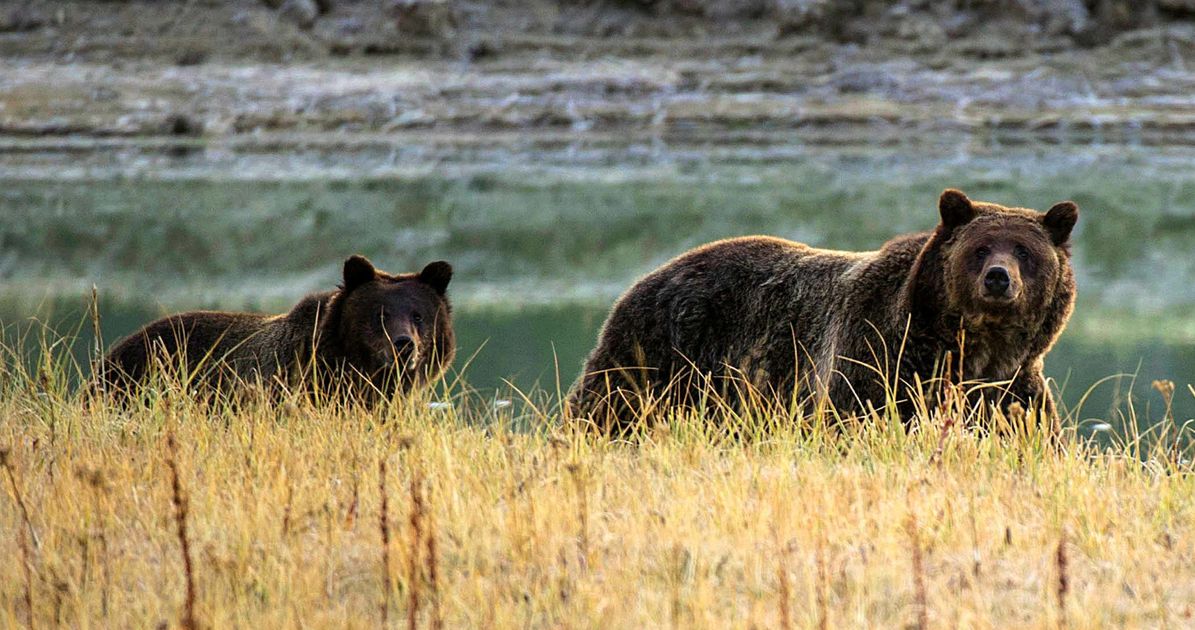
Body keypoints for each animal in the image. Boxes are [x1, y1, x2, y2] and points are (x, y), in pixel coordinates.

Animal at [564, 188, 1080, 435]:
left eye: (1024, 250)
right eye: (980, 247)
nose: (998, 278)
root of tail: (646, 276)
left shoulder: (1011, 389)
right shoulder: (877, 360)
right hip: (658, 354)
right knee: (607, 408)